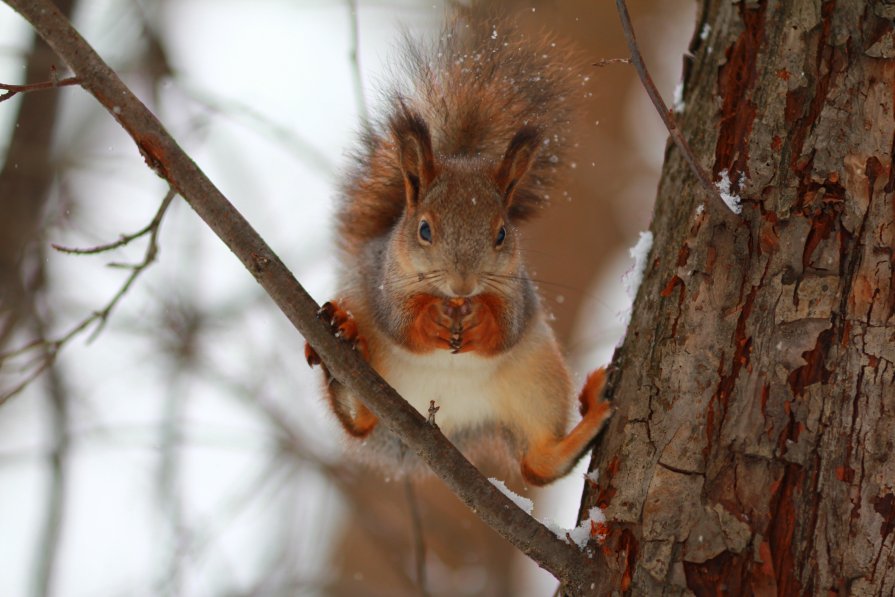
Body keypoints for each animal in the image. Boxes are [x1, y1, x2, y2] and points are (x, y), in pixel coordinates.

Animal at [304, 11, 612, 484]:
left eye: (502, 233)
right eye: (424, 230)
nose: (463, 286)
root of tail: (447, 423)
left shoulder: (518, 290)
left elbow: (507, 325)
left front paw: (481, 320)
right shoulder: (383, 279)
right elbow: (399, 321)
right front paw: (429, 318)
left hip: (537, 379)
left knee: (538, 463)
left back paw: (592, 413)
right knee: (360, 421)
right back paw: (341, 341)